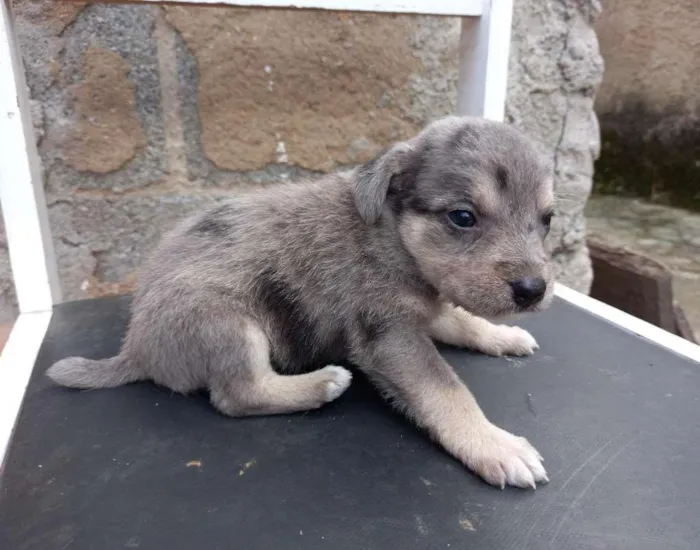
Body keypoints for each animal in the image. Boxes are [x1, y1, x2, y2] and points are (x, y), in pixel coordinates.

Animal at [46, 115, 556, 492]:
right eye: (463, 217)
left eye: (547, 219)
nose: (533, 289)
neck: (391, 236)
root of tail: (135, 349)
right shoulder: (390, 336)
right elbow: (448, 392)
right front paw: (495, 446)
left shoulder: (423, 311)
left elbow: (462, 320)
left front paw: (504, 335)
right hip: (228, 321)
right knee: (238, 395)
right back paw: (320, 384)